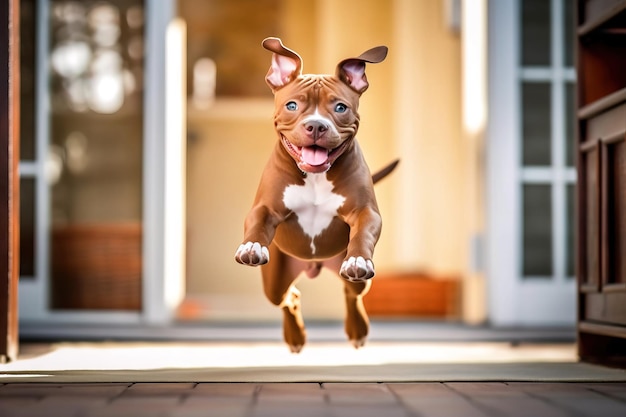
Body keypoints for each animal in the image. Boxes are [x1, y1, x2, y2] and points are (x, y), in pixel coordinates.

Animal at [234, 38, 394, 352]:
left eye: (341, 107)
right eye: (292, 105)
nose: (317, 125)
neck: (317, 176)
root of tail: (314, 263)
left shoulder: (365, 212)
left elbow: (363, 232)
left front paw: (358, 260)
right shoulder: (266, 208)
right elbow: (257, 222)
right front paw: (251, 246)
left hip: (347, 272)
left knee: (351, 291)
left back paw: (357, 329)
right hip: (276, 280)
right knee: (288, 297)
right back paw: (295, 336)